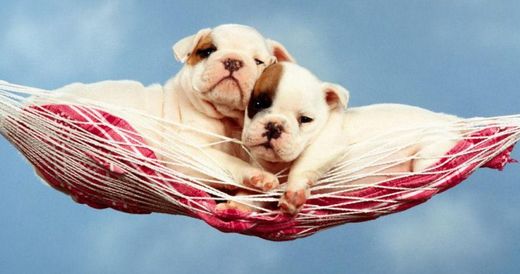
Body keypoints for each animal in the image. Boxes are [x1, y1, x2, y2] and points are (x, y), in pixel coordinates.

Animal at [36, 23, 294, 195]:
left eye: (259, 62)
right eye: (208, 51)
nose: (233, 61)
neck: (226, 118)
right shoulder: (190, 153)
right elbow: (228, 162)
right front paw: (258, 177)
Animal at [242, 62, 462, 214]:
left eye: (305, 120)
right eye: (258, 103)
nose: (274, 126)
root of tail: (448, 121)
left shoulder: (327, 144)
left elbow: (303, 165)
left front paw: (294, 193)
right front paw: (242, 202)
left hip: (430, 152)